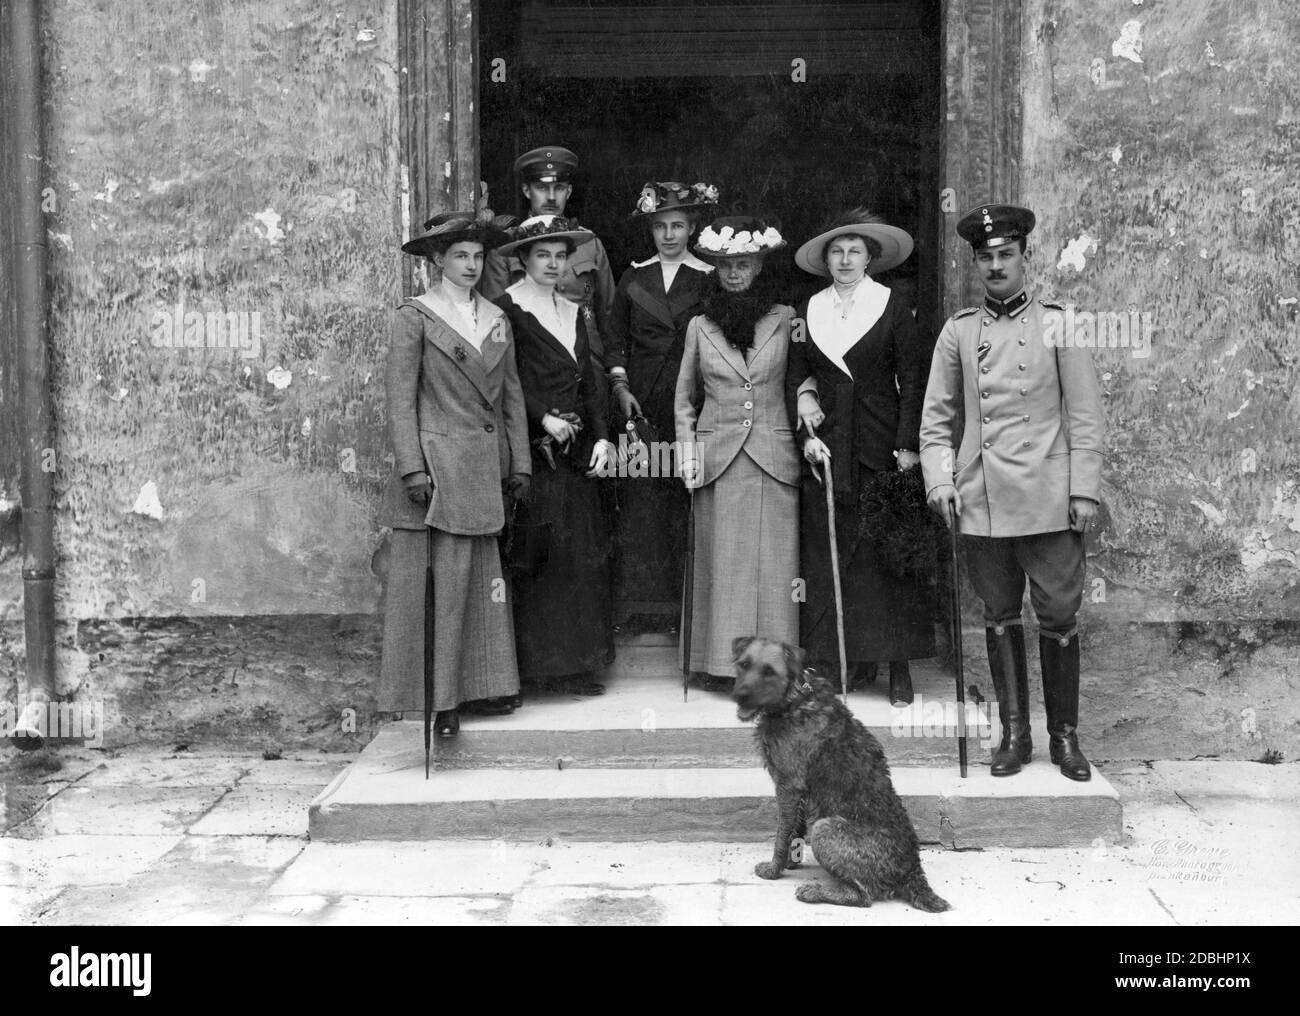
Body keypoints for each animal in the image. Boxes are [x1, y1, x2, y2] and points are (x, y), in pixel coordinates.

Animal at [733, 636, 956, 914]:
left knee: (862, 896)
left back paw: (815, 892)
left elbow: (782, 834)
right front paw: (791, 863)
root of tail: (912, 870)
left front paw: (774, 869)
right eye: (743, 664)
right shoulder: (799, 792)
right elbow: (794, 830)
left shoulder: (788, 787)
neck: (794, 700)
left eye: (769, 671)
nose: (739, 695)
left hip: (824, 829)